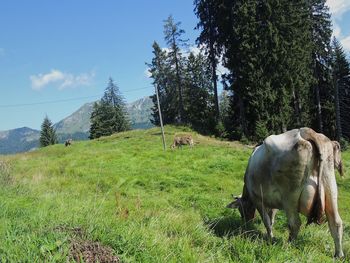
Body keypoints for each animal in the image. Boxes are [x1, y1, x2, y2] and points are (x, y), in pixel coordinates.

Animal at [227, 129, 344, 258]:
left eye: (241, 209)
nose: (246, 223)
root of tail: (306, 131)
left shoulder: (258, 199)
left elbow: (267, 221)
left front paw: (271, 238)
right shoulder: (273, 202)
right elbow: (272, 219)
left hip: (290, 198)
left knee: (295, 224)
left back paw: (288, 246)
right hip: (330, 187)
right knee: (336, 222)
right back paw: (338, 255)